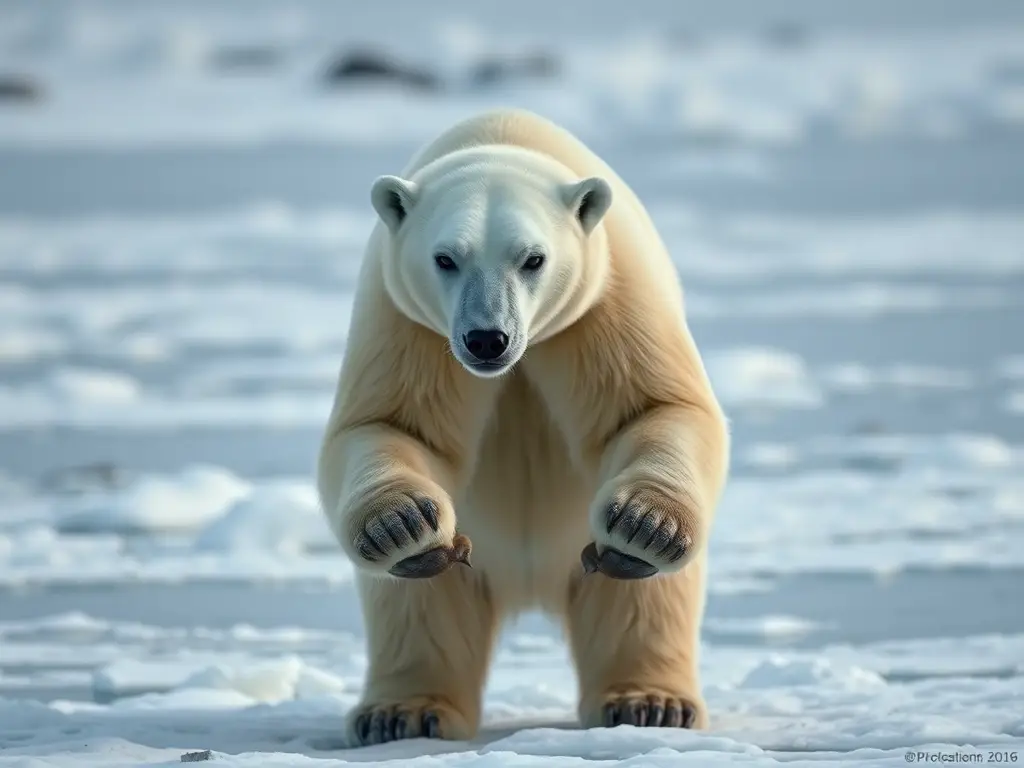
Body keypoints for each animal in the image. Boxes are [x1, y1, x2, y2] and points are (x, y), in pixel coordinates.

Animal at [316, 108, 730, 746]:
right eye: (445, 258)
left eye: (532, 258)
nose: (488, 338)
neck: (502, 139)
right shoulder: (408, 323)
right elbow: (393, 426)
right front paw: (401, 524)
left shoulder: (606, 304)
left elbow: (654, 408)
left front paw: (646, 524)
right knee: (418, 602)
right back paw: (403, 711)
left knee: (643, 598)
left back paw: (649, 702)